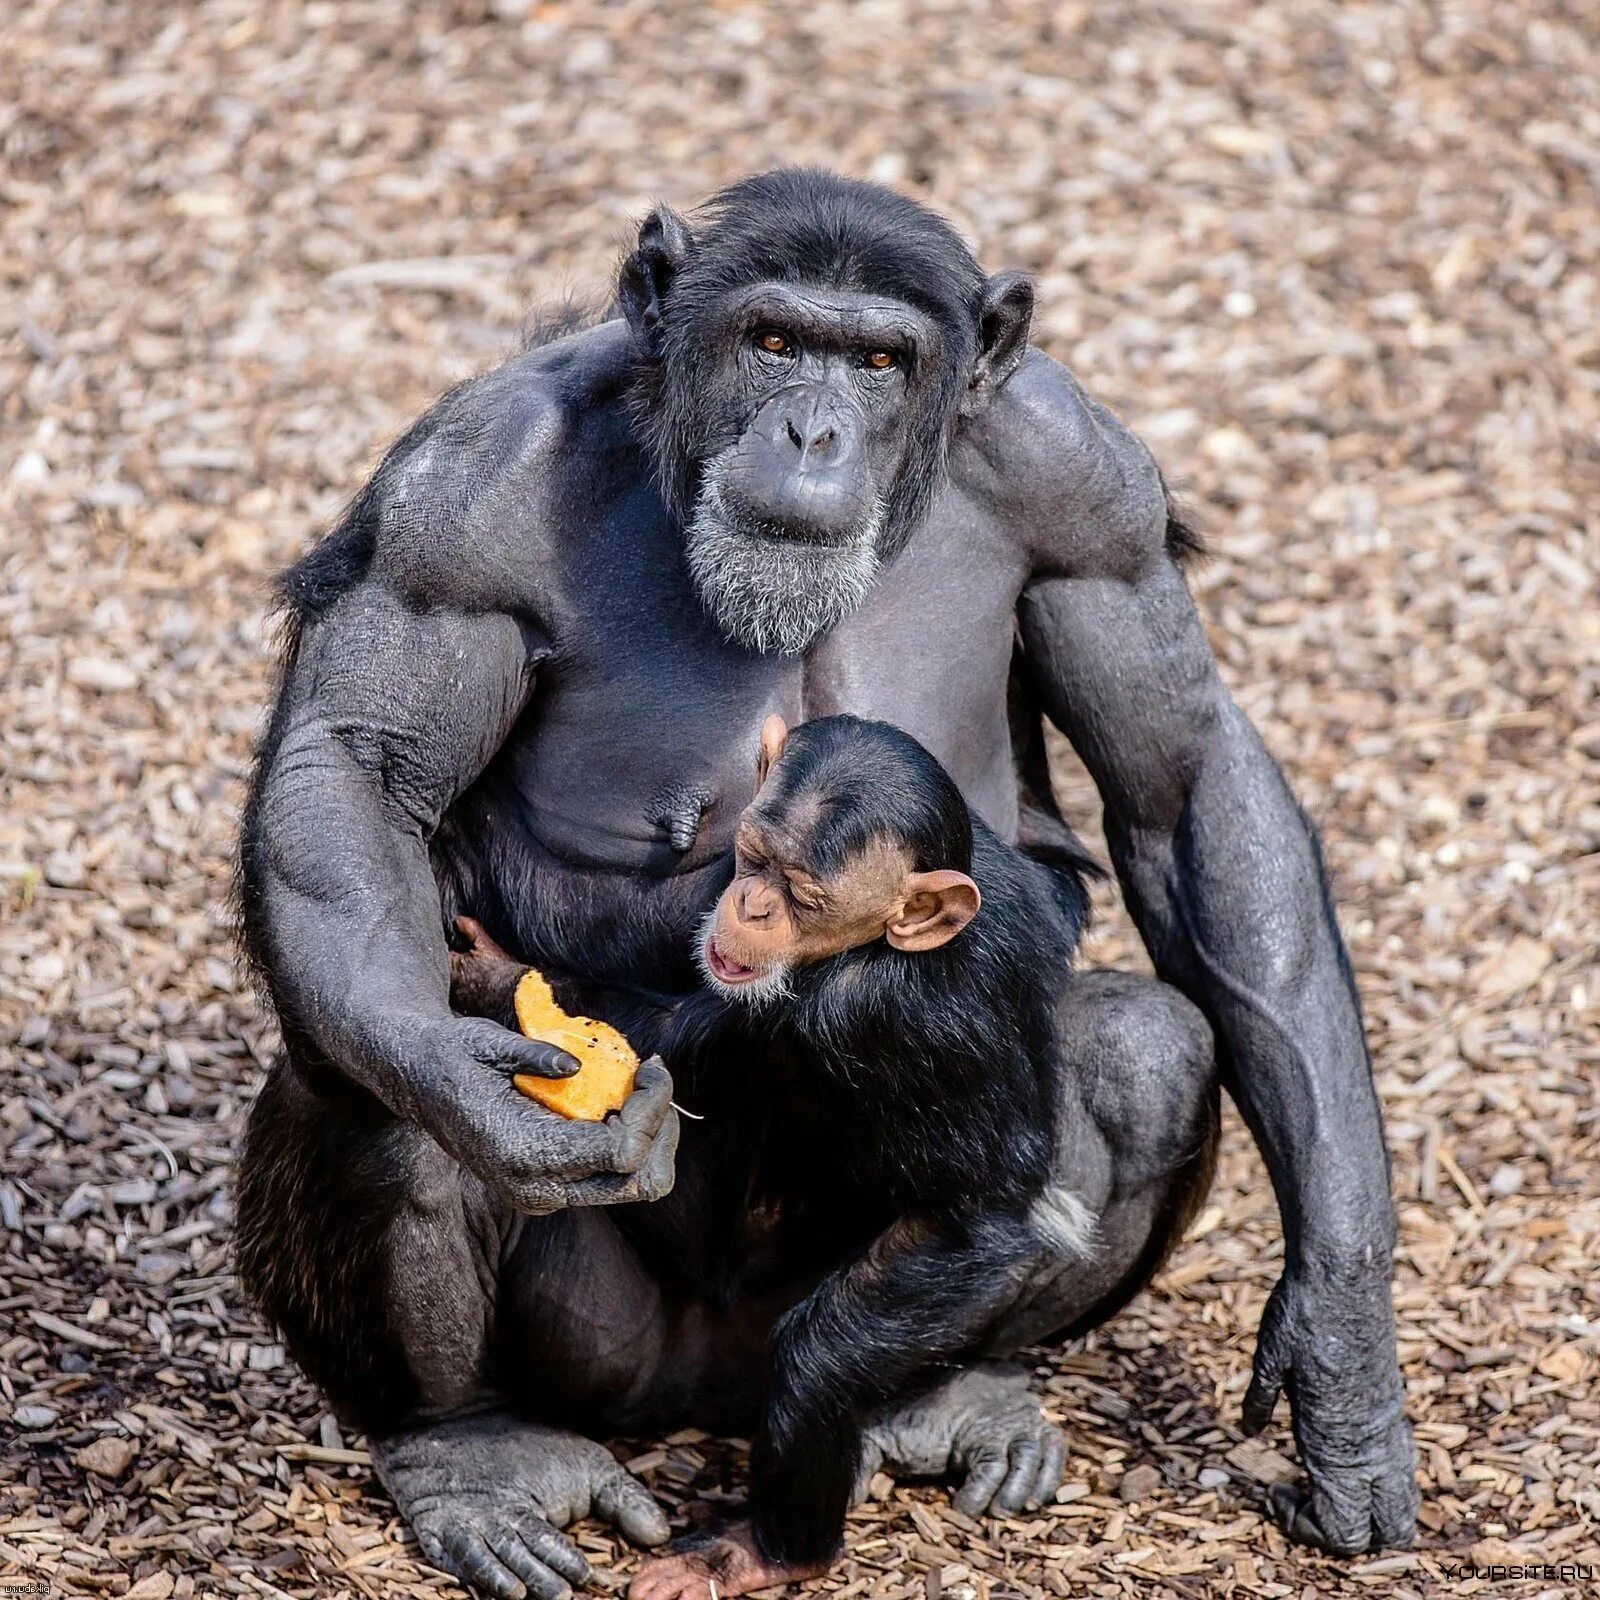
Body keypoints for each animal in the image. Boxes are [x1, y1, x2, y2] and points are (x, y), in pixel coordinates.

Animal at [444, 716, 1216, 1600]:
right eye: (752, 859)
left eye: (802, 895)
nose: (750, 905)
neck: (882, 947)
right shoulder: (995, 877)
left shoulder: (829, 1018)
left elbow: (669, 1037)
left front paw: (497, 974)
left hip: (947, 1271)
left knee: (822, 1362)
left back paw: (772, 1548)